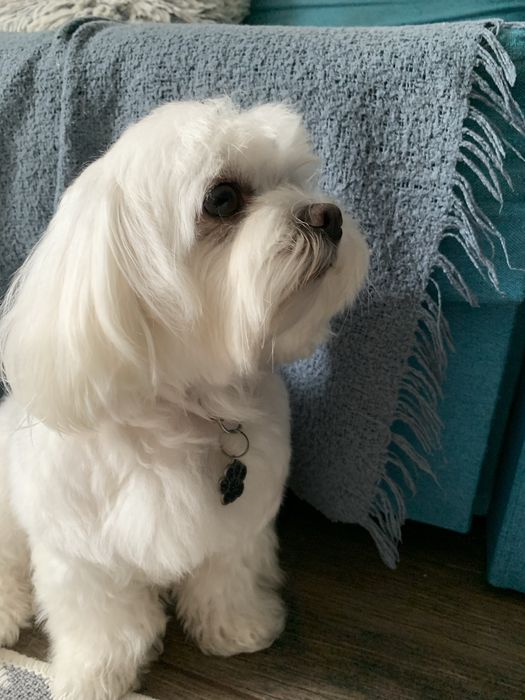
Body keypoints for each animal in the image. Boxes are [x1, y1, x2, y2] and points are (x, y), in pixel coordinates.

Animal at [0, 98, 369, 699]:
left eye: (294, 179)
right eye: (222, 198)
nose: (329, 215)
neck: (184, 406)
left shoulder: (237, 525)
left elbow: (225, 578)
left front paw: (238, 627)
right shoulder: (81, 549)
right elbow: (105, 621)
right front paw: (92, 675)